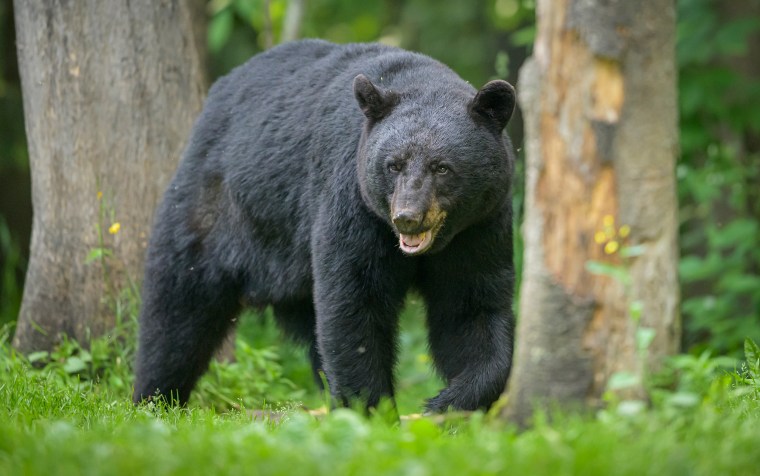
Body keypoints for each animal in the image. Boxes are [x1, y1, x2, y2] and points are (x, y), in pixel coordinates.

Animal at [135, 40, 516, 412]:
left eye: (442, 167)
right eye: (393, 164)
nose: (407, 216)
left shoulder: (479, 227)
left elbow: (471, 307)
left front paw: (449, 402)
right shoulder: (354, 204)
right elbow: (354, 301)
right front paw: (370, 409)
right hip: (215, 209)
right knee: (179, 306)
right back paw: (155, 398)